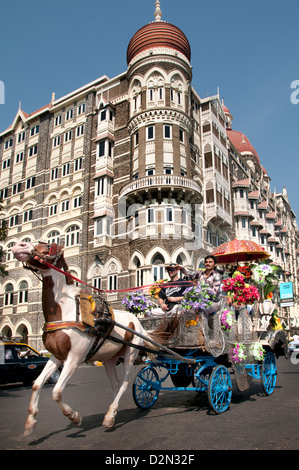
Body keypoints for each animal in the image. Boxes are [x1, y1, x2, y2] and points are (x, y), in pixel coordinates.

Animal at [12, 242, 176, 436]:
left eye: (47, 247)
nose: (18, 246)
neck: (67, 310)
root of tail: (139, 324)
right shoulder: (57, 356)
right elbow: (37, 384)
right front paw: (30, 422)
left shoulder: (75, 358)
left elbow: (56, 392)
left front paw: (74, 417)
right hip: (110, 359)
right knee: (116, 385)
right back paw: (112, 413)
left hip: (130, 354)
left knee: (125, 383)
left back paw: (110, 416)